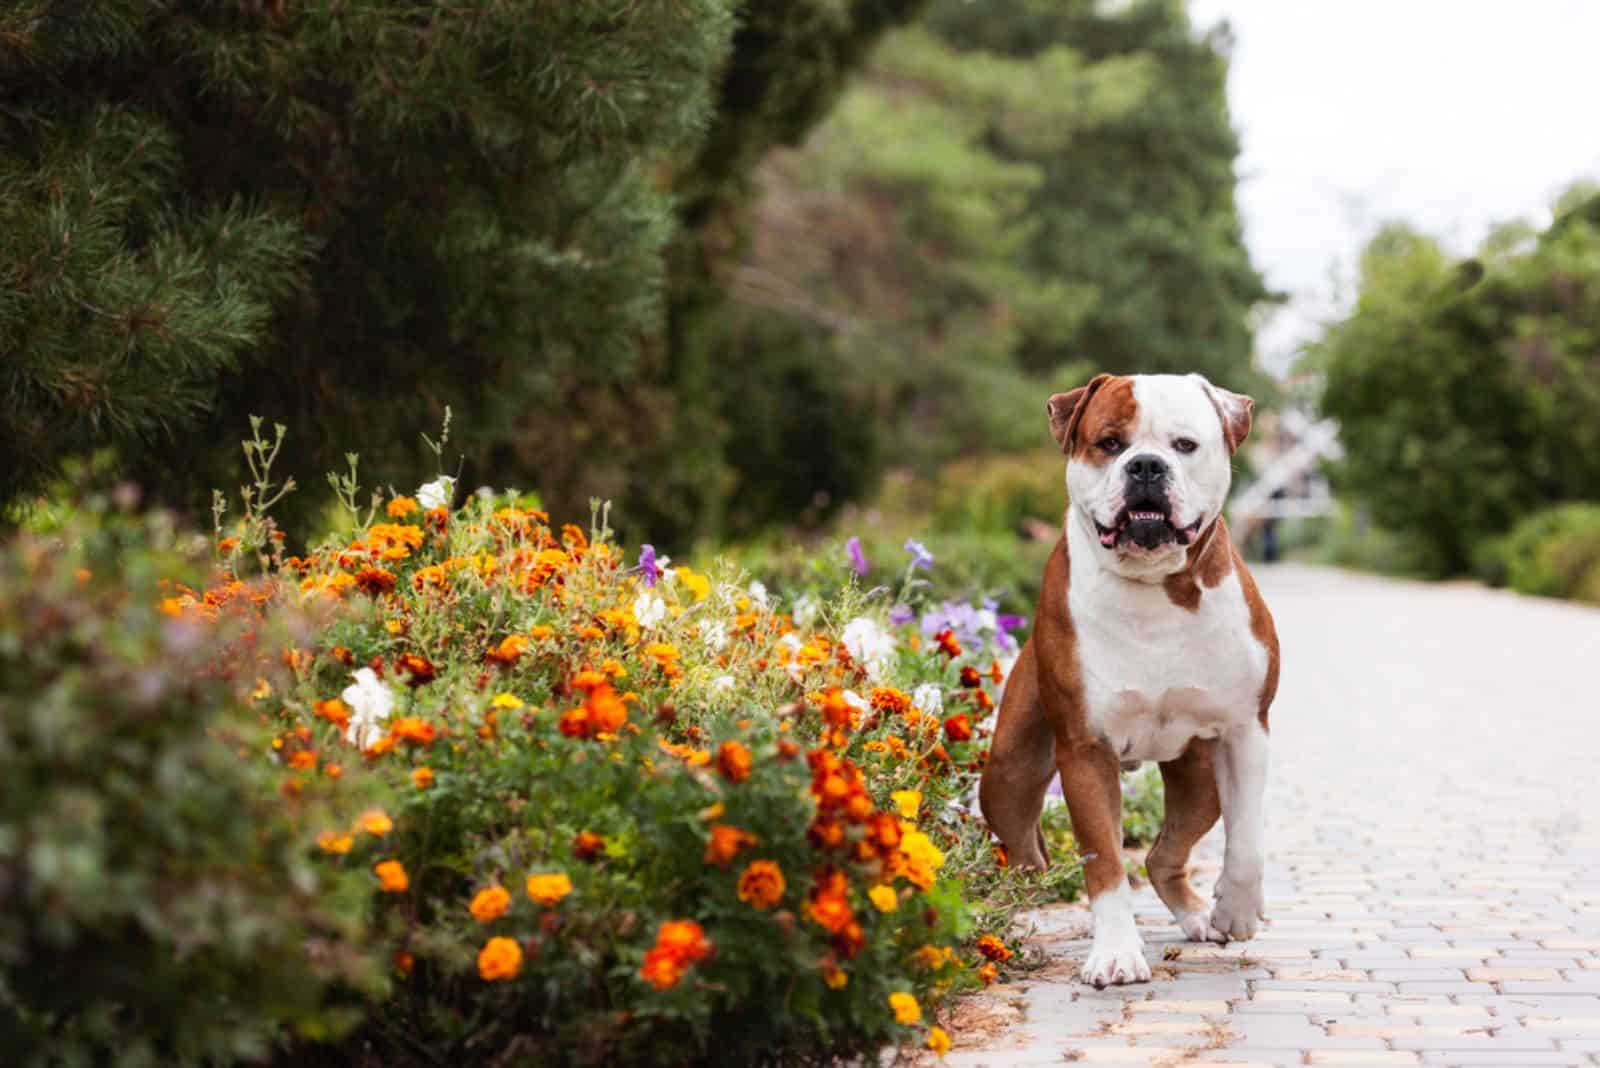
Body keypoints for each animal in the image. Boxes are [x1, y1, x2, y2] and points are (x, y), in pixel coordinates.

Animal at [972, 370, 1286, 991]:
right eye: (1109, 443)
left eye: (1185, 445)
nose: (1145, 466)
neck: (1155, 586)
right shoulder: (1086, 750)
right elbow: (1106, 862)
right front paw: (1116, 953)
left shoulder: (1245, 731)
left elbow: (1246, 843)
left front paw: (1237, 910)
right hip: (1010, 775)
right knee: (1025, 856)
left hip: (1199, 780)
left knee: (1163, 855)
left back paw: (1201, 917)